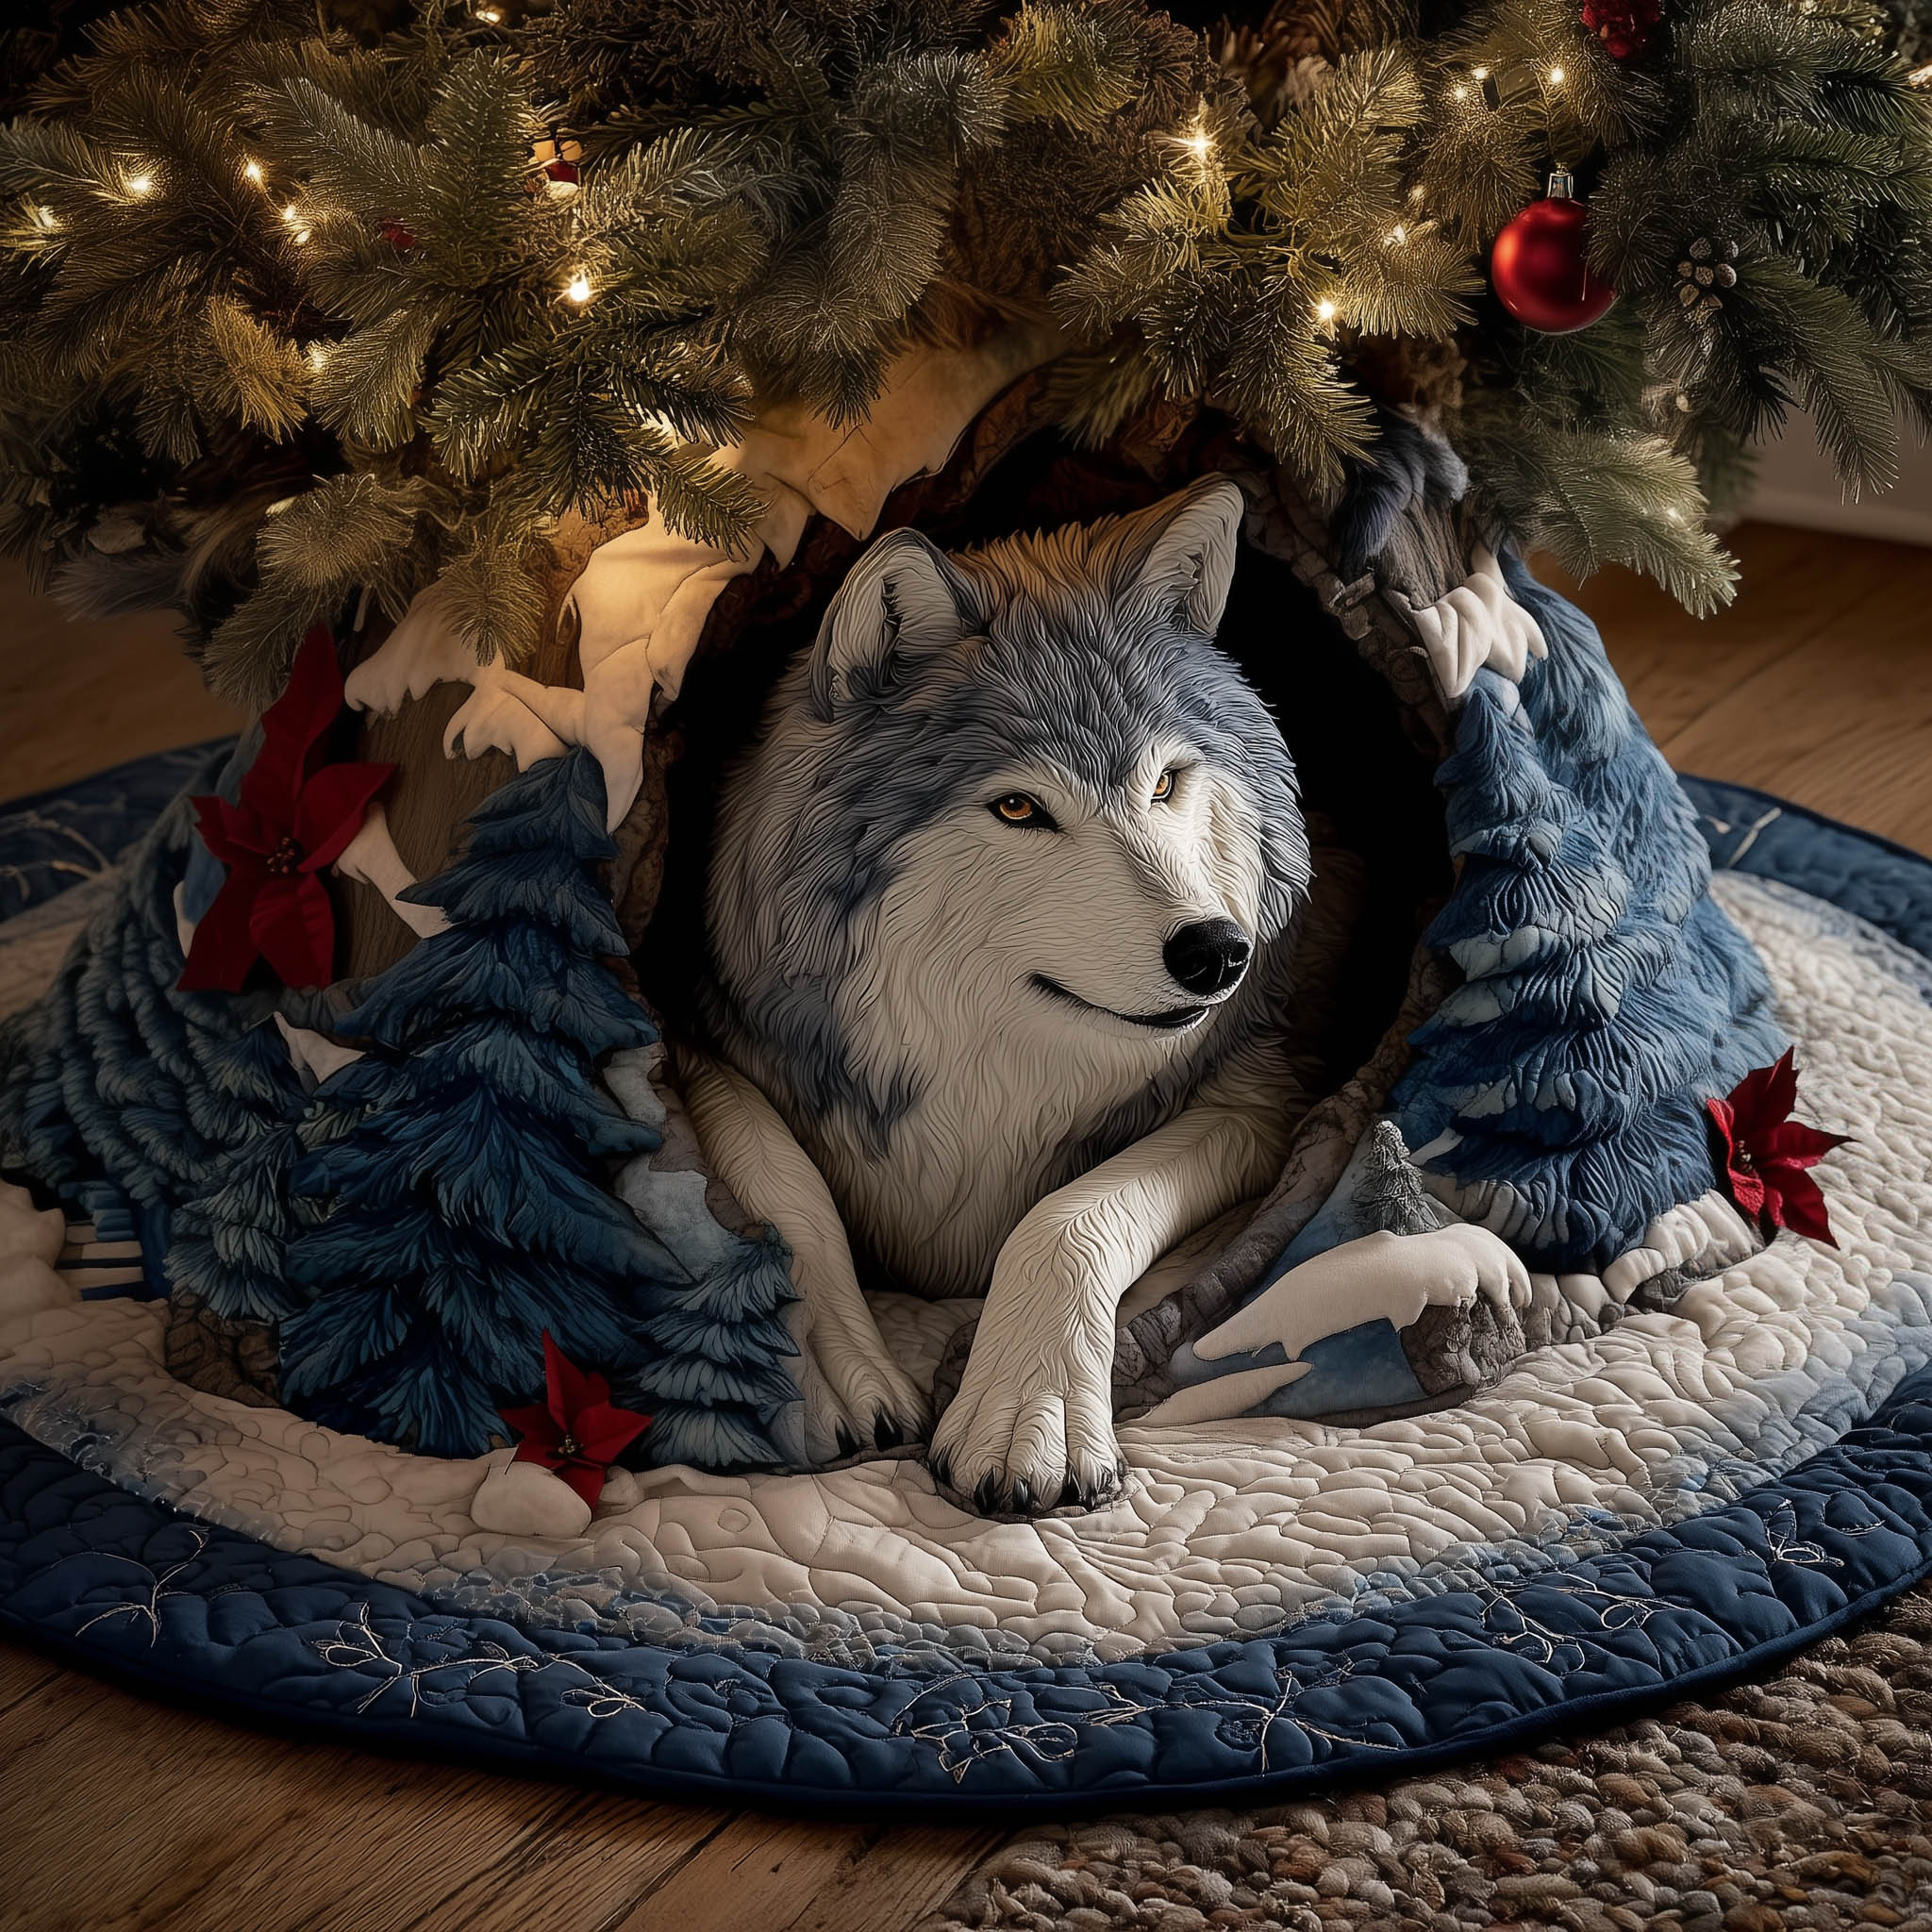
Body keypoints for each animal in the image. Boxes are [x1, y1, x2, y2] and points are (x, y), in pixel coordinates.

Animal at [679, 476, 1520, 1513]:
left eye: (1165, 781)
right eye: (1018, 807)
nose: (1219, 952)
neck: (989, 1072)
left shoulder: (1259, 1092)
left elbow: (1069, 1218)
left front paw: (1023, 1424)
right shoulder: (698, 1037)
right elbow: (782, 1182)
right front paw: (839, 1376)